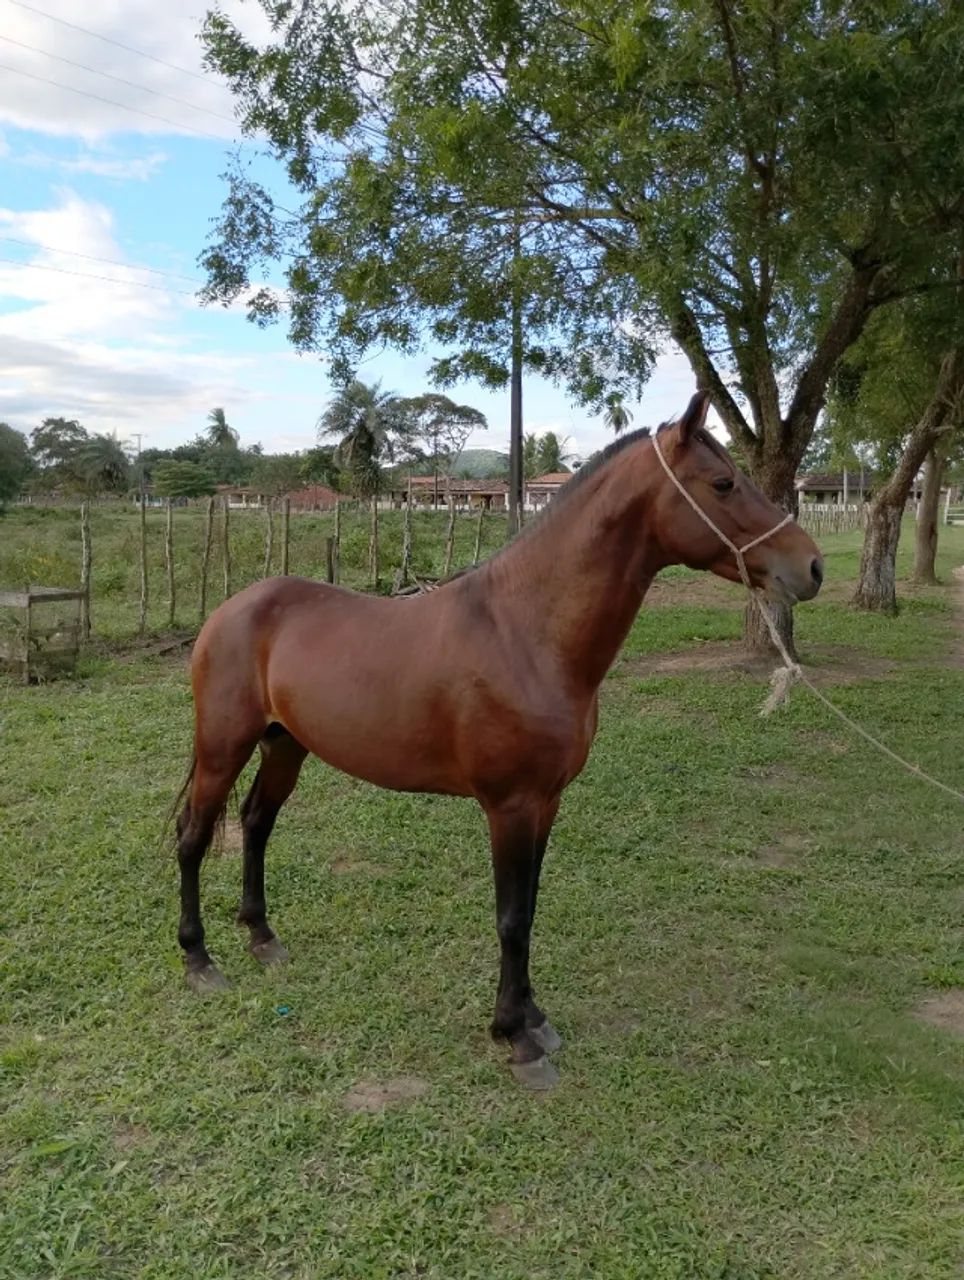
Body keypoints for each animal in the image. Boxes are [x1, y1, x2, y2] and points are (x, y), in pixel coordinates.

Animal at [174, 391, 823, 1089]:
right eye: (724, 482)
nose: (810, 566)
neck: (527, 634)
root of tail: (230, 609)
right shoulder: (509, 806)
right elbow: (511, 917)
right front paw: (515, 1037)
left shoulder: (547, 801)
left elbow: (529, 908)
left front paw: (534, 1017)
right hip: (223, 746)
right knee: (194, 837)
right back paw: (199, 960)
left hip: (285, 745)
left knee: (255, 823)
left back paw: (262, 938)